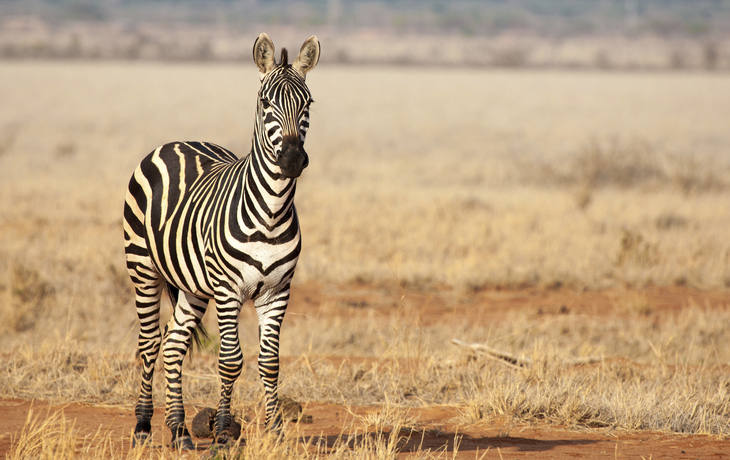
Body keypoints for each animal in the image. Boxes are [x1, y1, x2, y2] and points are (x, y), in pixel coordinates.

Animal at [122, 33, 320, 449]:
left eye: (308, 103)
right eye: (265, 103)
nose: (293, 159)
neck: (270, 212)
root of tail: (178, 142)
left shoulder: (278, 291)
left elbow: (269, 363)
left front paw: (275, 431)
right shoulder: (229, 290)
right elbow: (230, 362)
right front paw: (224, 433)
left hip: (193, 286)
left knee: (174, 344)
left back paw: (180, 430)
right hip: (143, 268)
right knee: (149, 343)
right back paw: (144, 426)